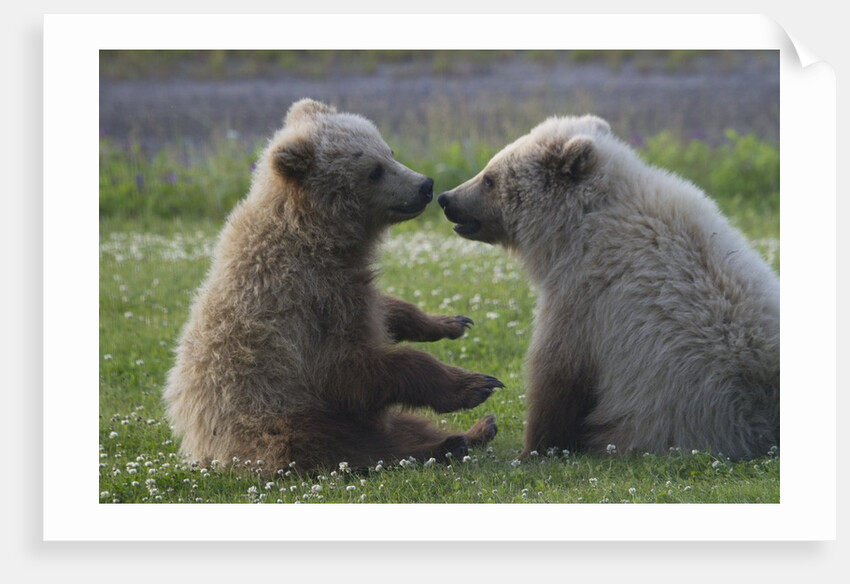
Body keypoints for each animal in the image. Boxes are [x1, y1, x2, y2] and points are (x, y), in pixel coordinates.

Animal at [163, 98, 502, 473]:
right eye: (374, 170)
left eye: (390, 151)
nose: (425, 185)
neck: (320, 236)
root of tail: (205, 450)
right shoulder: (304, 304)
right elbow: (349, 370)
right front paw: (475, 383)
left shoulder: (348, 286)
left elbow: (384, 310)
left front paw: (449, 321)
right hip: (284, 420)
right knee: (357, 446)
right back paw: (448, 443)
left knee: (403, 426)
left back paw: (477, 430)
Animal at [437, 114, 779, 460]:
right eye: (487, 168)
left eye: (489, 178)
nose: (446, 198)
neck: (575, 228)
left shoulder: (585, 294)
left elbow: (557, 372)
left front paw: (532, 448)